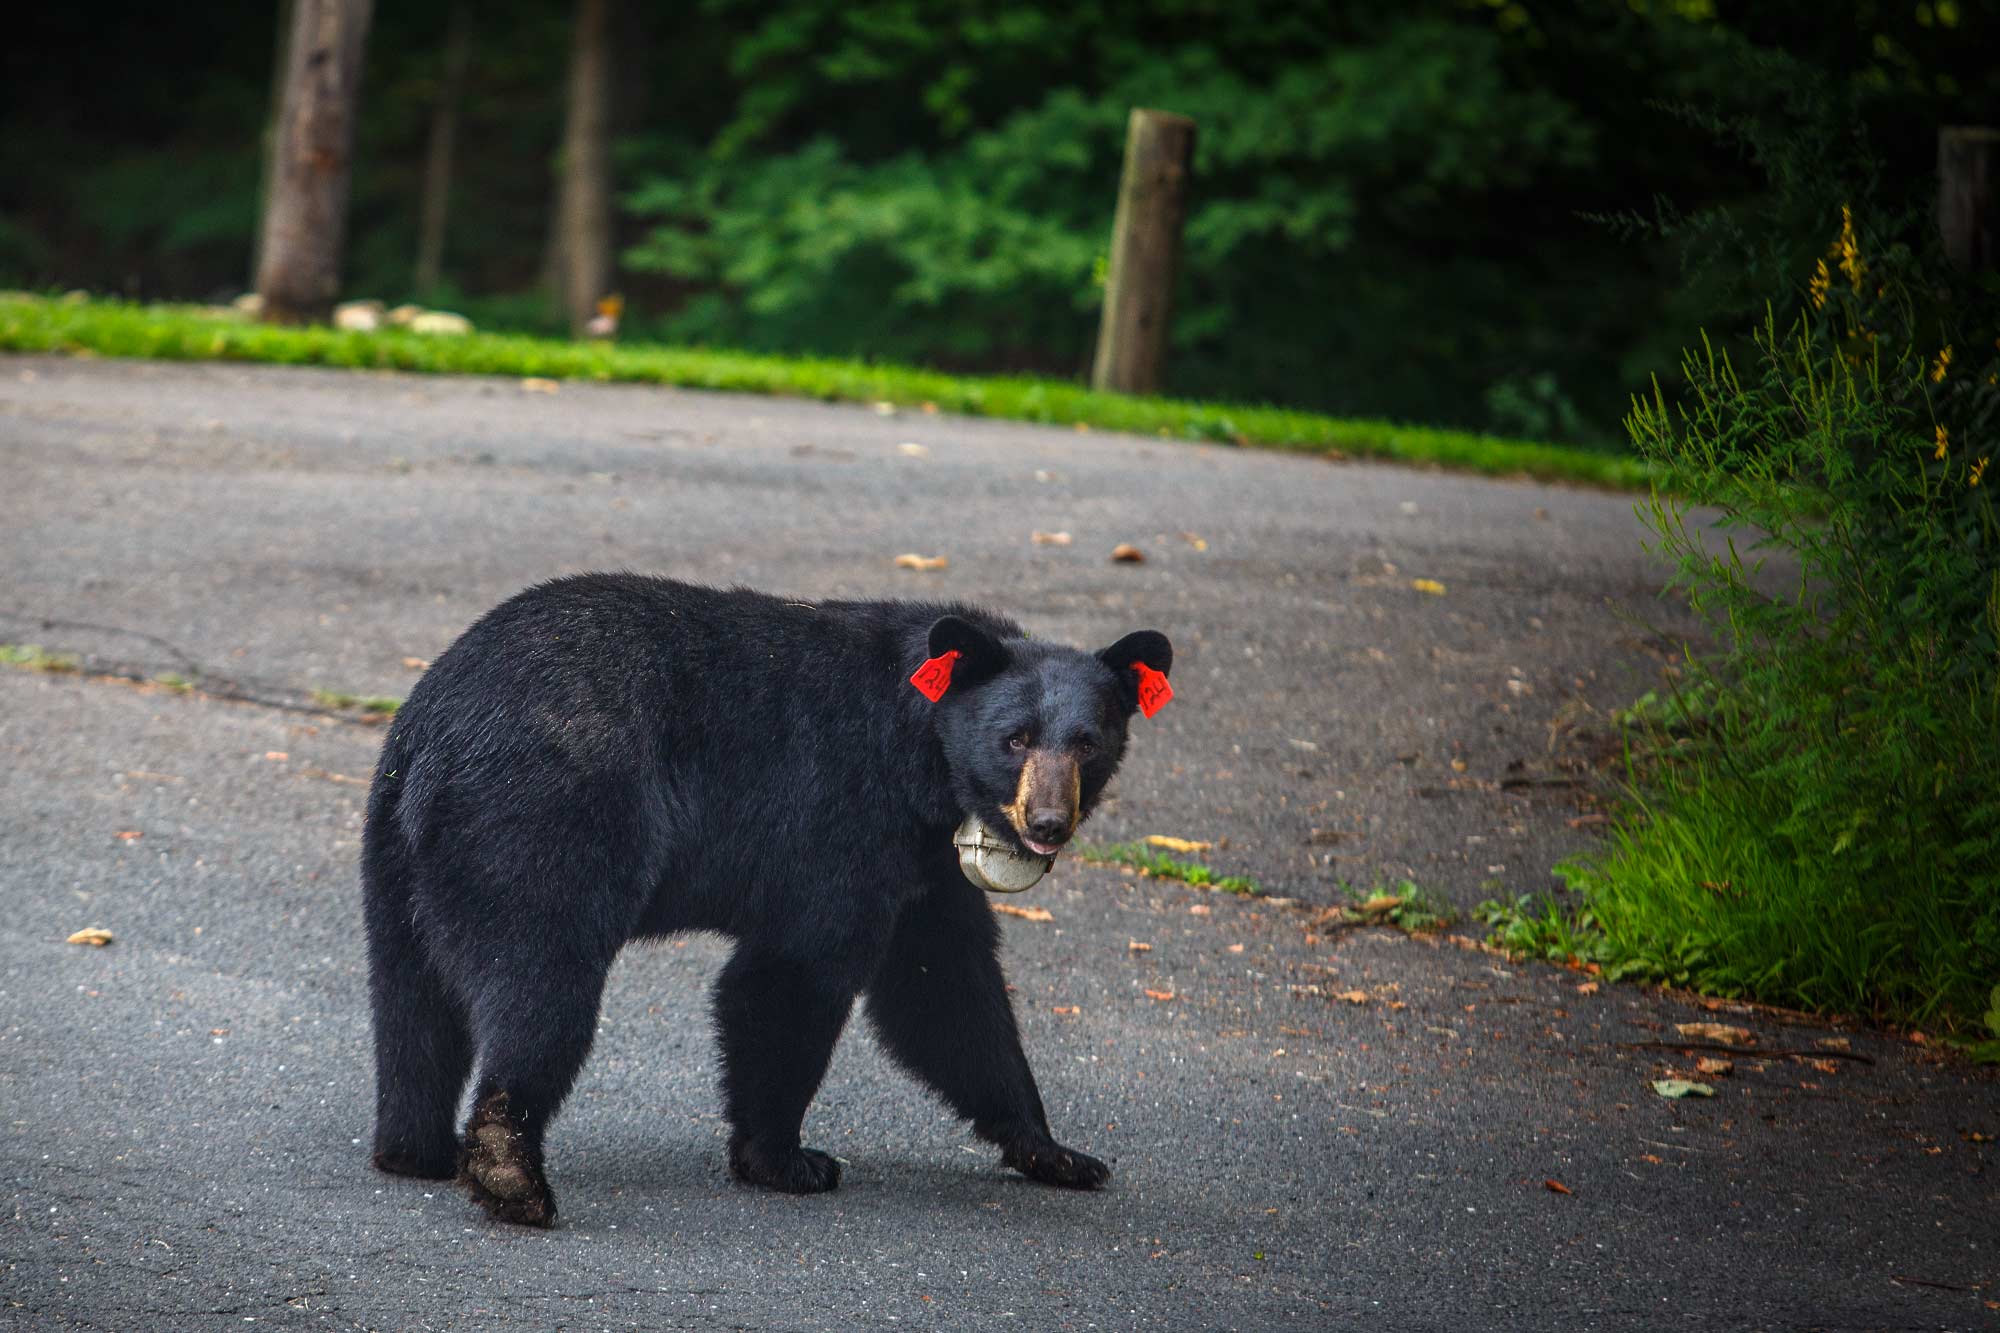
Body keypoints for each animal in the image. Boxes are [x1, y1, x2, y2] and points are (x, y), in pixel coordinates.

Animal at [364, 572, 1168, 1224]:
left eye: (1088, 743)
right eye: (1015, 738)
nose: (1046, 823)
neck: (920, 753)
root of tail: (437, 734)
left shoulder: (925, 866)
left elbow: (948, 989)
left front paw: (1056, 1151)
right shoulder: (843, 814)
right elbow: (794, 970)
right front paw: (787, 1159)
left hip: (398, 855)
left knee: (413, 1000)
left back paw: (416, 1146)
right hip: (544, 816)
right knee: (539, 979)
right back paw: (510, 1170)